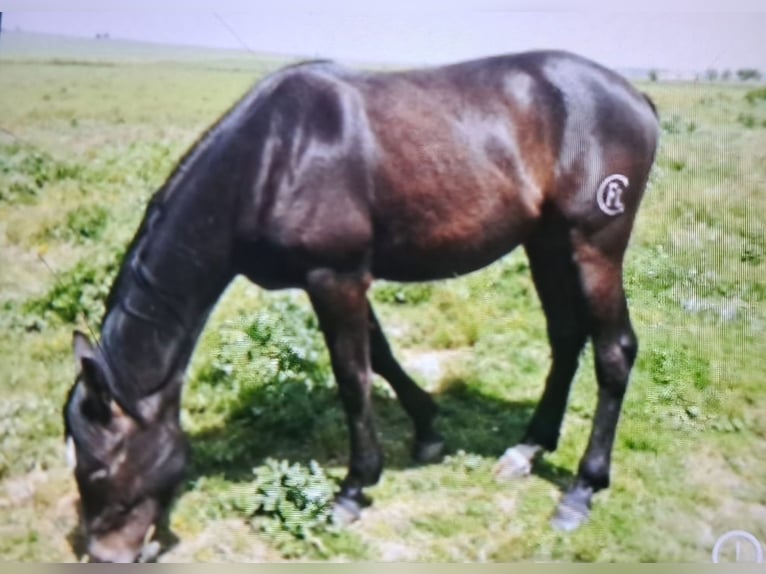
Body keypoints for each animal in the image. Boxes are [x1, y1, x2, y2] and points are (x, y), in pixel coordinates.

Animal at [63, 48, 660, 564]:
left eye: (97, 470)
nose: (106, 555)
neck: (270, 157)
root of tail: (637, 99)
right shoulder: (344, 278)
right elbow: (383, 356)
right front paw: (427, 430)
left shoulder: (335, 277)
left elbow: (354, 378)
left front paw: (354, 488)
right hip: (546, 240)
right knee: (566, 337)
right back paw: (529, 447)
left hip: (594, 244)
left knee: (614, 352)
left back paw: (582, 488)